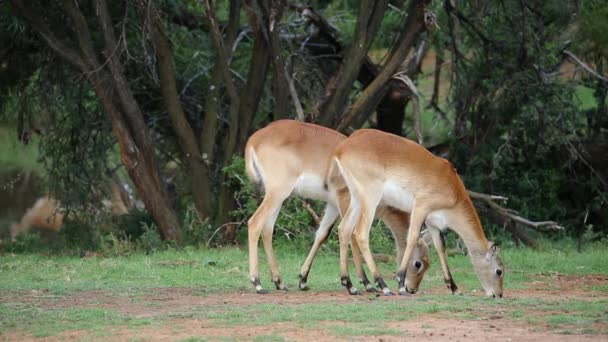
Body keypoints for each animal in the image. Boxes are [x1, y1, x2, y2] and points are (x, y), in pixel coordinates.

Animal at [245, 119, 430, 294]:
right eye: (418, 263)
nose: (412, 289)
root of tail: (255, 138)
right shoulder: (345, 199)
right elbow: (352, 235)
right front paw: (365, 284)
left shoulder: (333, 205)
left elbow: (322, 235)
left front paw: (303, 280)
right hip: (277, 192)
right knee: (254, 223)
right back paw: (257, 283)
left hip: (279, 197)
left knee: (267, 229)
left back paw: (279, 282)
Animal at [330, 128, 506, 296]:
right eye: (499, 271)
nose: (498, 294)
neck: (453, 191)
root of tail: (343, 147)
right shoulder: (420, 208)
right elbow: (412, 238)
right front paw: (401, 285)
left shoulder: (433, 222)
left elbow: (440, 246)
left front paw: (454, 288)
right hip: (371, 198)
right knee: (360, 233)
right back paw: (383, 286)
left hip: (356, 199)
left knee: (344, 229)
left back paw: (350, 286)